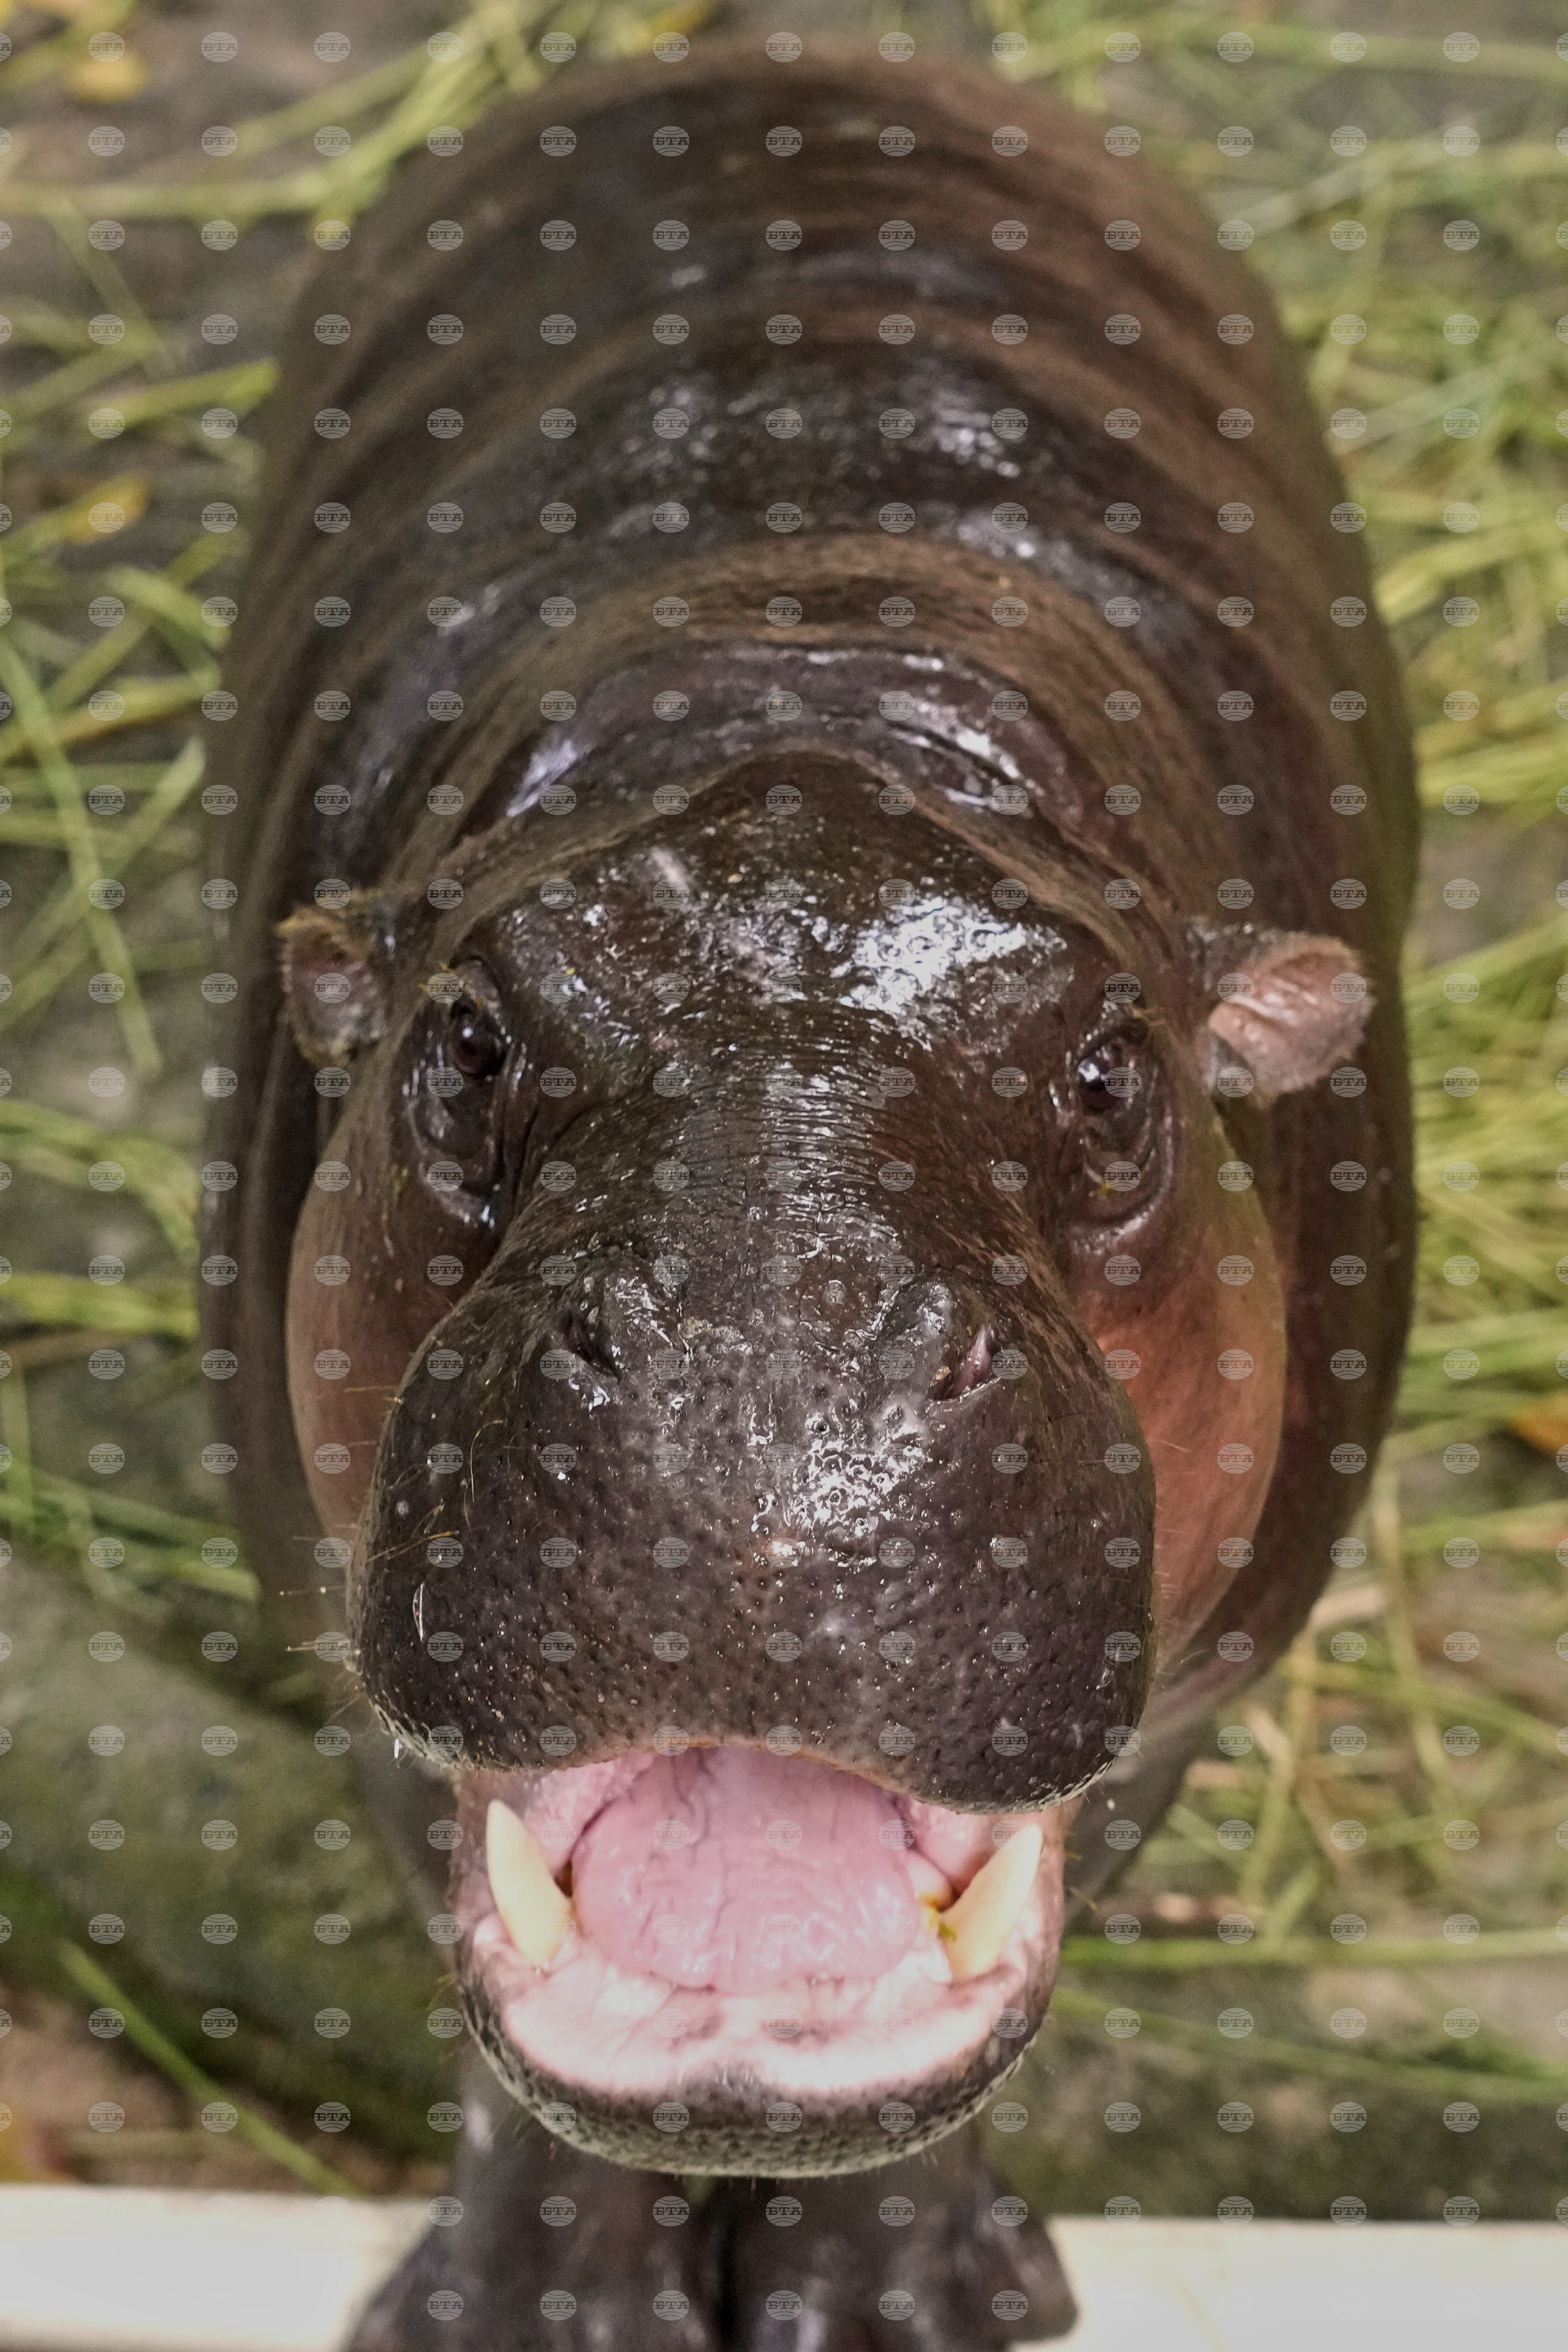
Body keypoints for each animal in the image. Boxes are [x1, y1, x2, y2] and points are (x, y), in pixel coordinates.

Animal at [202, 36, 1415, 2352]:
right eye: (461, 1040)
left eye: (1118, 1073)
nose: (759, 1393)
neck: (817, 669)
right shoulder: (330, 1591)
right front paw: (533, 2308)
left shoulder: (1198, 1674)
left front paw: (888, 2303)